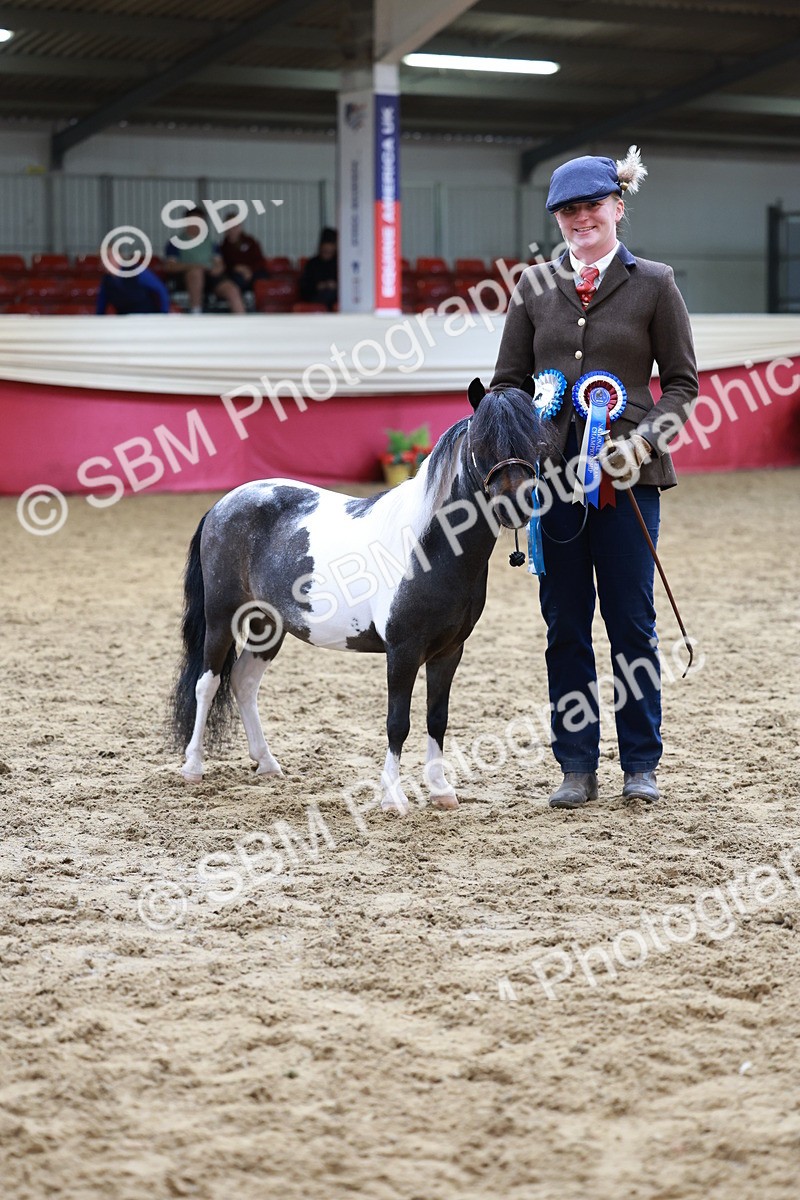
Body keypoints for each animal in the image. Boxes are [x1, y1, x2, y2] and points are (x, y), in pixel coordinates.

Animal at [170, 376, 552, 815]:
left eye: (534, 439)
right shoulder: (403, 651)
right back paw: (193, 767)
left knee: (243, 682)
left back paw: (267, 763)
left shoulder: (449, 651)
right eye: (482, 441)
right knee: (208, 683)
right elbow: (397, 722)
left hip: (270, 625)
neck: (430, 545)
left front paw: (441, 790)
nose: (518, 505)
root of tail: (224, 503)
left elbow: (437, 717)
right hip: (222, 617)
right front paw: (393, 797)